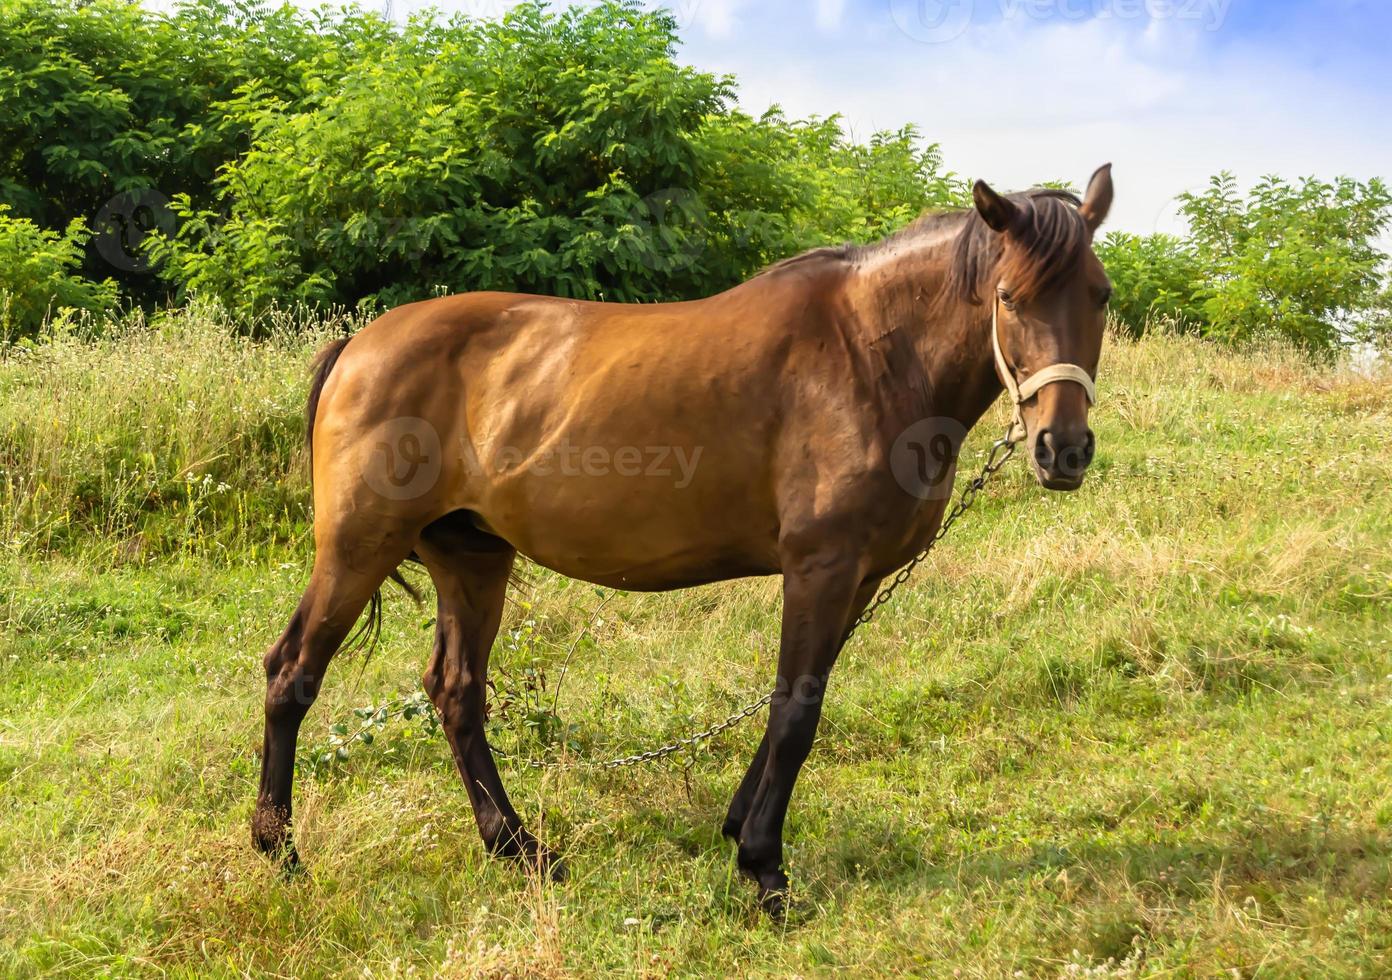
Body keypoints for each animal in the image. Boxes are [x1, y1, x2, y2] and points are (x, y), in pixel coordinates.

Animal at [250, 166, 1113, 913]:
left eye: (1099, 296)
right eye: (1008, 296)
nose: (1063, 449)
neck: (872, 354)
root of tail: (358, 348)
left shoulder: (857, 576)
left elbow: (792, 698)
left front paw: (738, 830)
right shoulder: (822, 566)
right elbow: (797, 710)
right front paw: (764, 869)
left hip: (471, 557)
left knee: (456, 692)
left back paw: (520, 849)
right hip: (360, 546)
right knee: (293, 673)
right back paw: (280, 850)